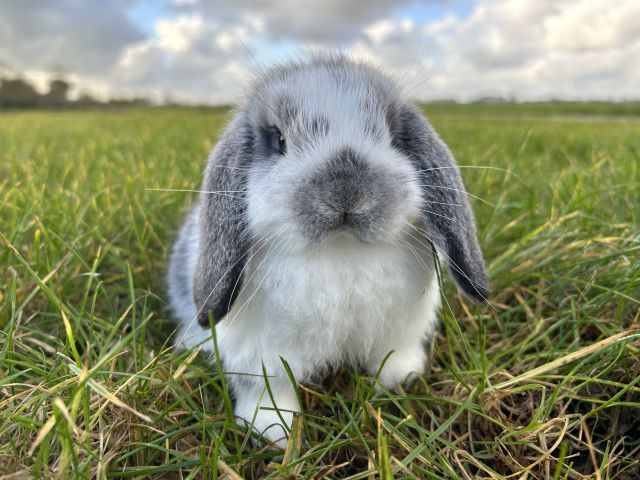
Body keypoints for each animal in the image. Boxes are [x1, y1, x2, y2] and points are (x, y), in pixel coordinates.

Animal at [166, 54, 490, 448]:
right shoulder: (259, 354)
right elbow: (265, 389)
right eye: (280, 140)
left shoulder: (400, 331)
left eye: (393, 136)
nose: (346, 191)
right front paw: (271, 431)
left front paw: (402, 380)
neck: (341, 251)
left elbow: (394, 355)